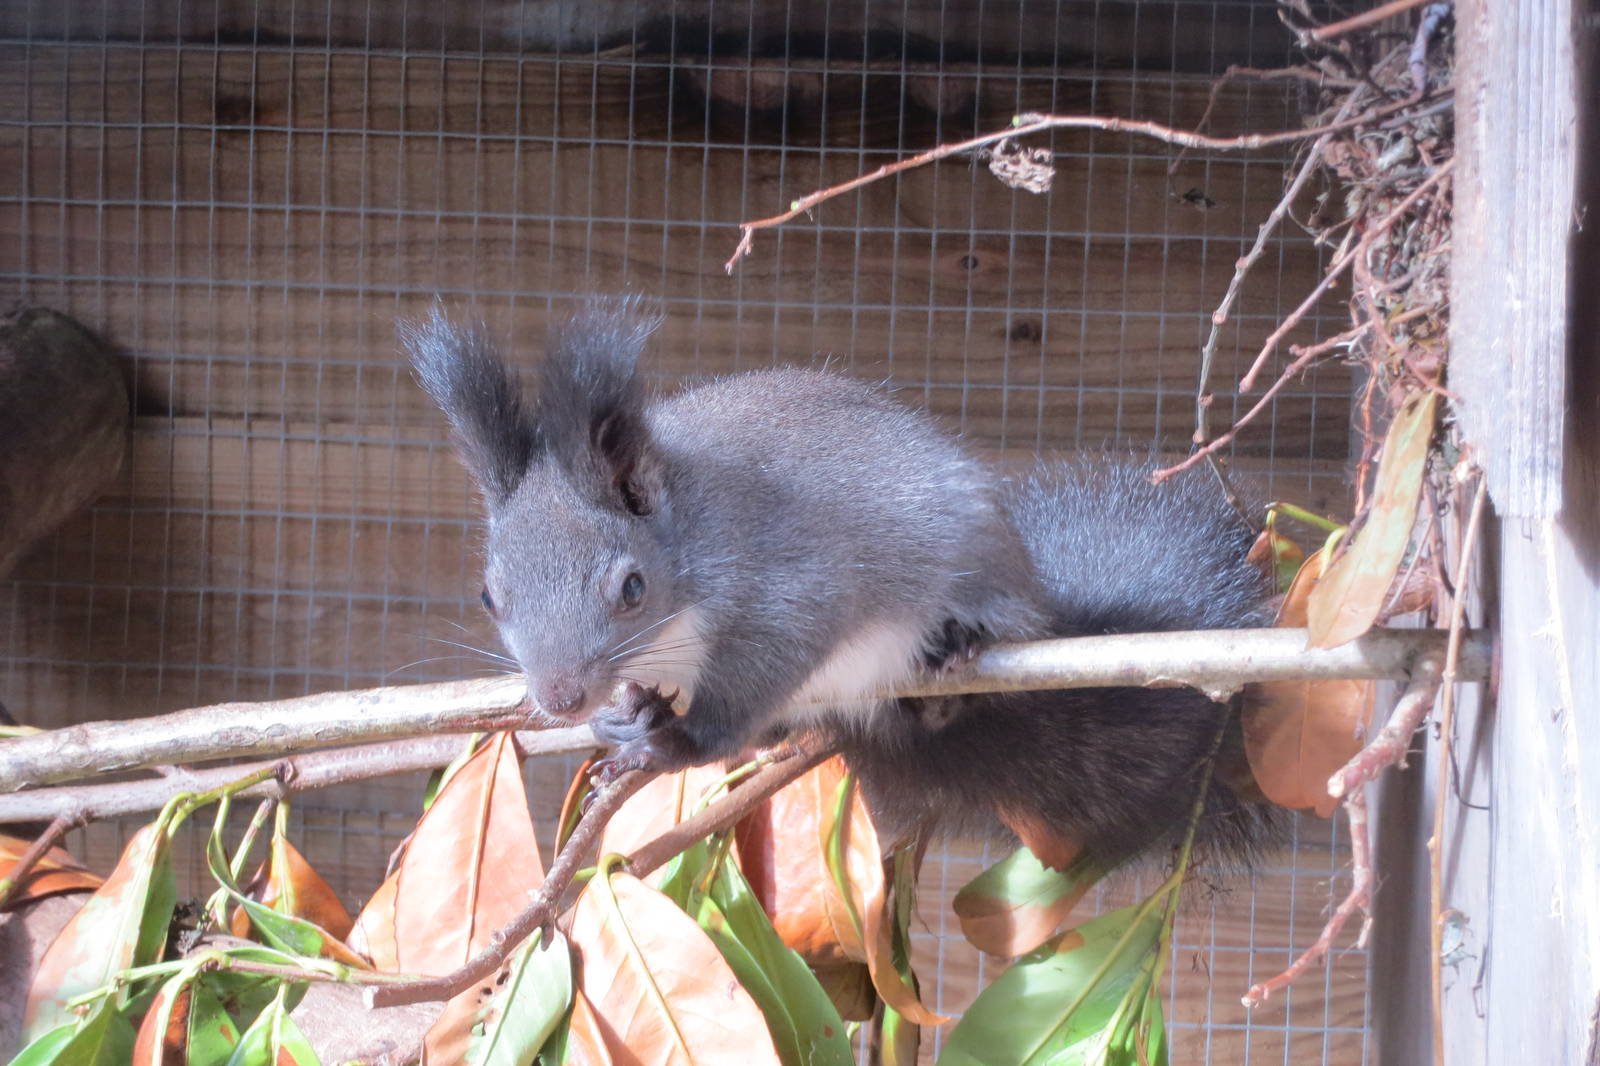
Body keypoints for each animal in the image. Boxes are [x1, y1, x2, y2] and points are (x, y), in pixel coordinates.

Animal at [405, 302, 1280, 867]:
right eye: (489, 595)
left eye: (632, 588)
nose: (559, 699)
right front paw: (633, 717)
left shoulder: (789, 592)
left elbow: (755, 680)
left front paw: (671, 743)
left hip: (981, 583)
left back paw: (957, 655)